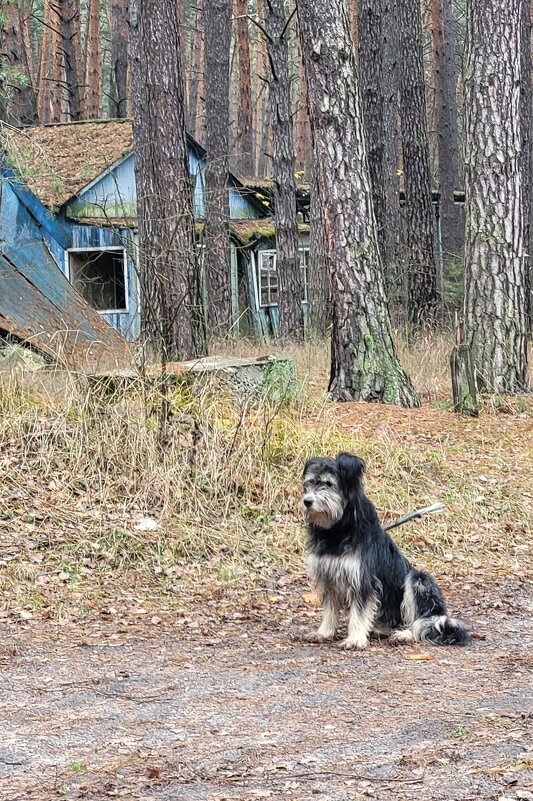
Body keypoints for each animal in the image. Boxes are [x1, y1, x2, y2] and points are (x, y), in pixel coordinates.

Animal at [302, 454, 472, 648]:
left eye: (328, 483)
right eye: (309, 483)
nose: (307, 501)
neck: (336, 531)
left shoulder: (362, 580)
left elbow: (359, 613)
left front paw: (355, 639)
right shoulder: (327, 577)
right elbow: (330, 611)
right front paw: (324, 633)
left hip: (418, 580)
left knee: (421, 624)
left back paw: (404, 634)